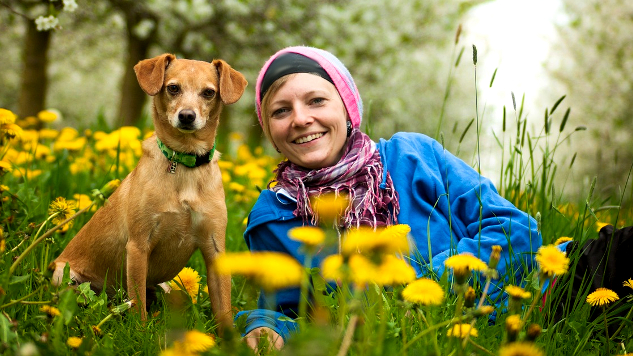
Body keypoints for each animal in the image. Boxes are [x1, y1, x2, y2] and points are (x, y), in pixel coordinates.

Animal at [50, 53, 248, 326]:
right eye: (173, 88)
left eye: (209, 92)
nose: (187, 116)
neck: (184, 165)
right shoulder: (138, 246)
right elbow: (138, 306)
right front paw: (140, 331)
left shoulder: (215, 249)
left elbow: (224, 309)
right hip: (65, 276)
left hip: (169, 288)